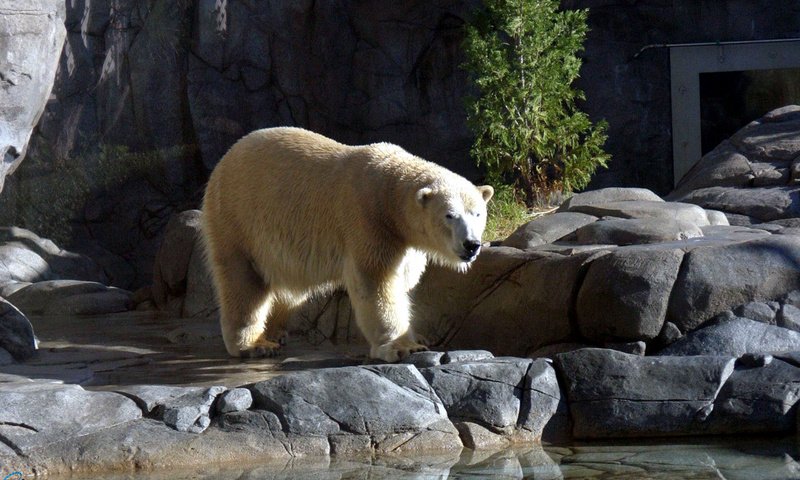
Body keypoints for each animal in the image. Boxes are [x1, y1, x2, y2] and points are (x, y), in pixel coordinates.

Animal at [203, 125, 490, 362]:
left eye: (477, 213)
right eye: (450, 215)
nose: (472, 244)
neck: (388, 194)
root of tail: (223, 162)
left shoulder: (406, 241)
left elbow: (405, 280)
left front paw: (416, 336)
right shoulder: (368, 221)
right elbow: (375, 283)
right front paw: (403, 347)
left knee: (289, 287)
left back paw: (277, 332)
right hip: (237, 219)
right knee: (243, 282)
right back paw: (254, 344)